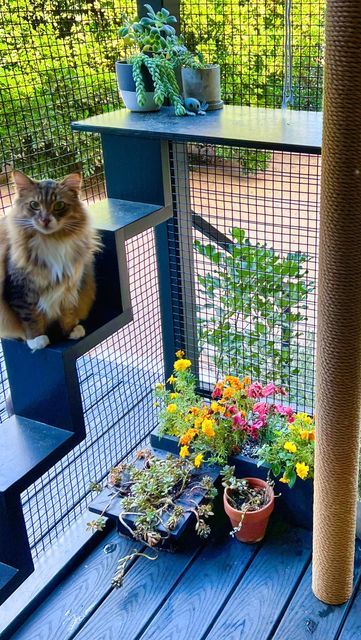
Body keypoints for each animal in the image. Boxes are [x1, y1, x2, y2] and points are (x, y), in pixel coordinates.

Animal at [0, 170, 100, 350]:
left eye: (59, 205)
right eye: (34, 205)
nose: (45, 220)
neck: (52, 240)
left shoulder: (69, 285)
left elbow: (68, 312)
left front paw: (71, 330)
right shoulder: (20, 288)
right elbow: (30, 316)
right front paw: (37, 339)